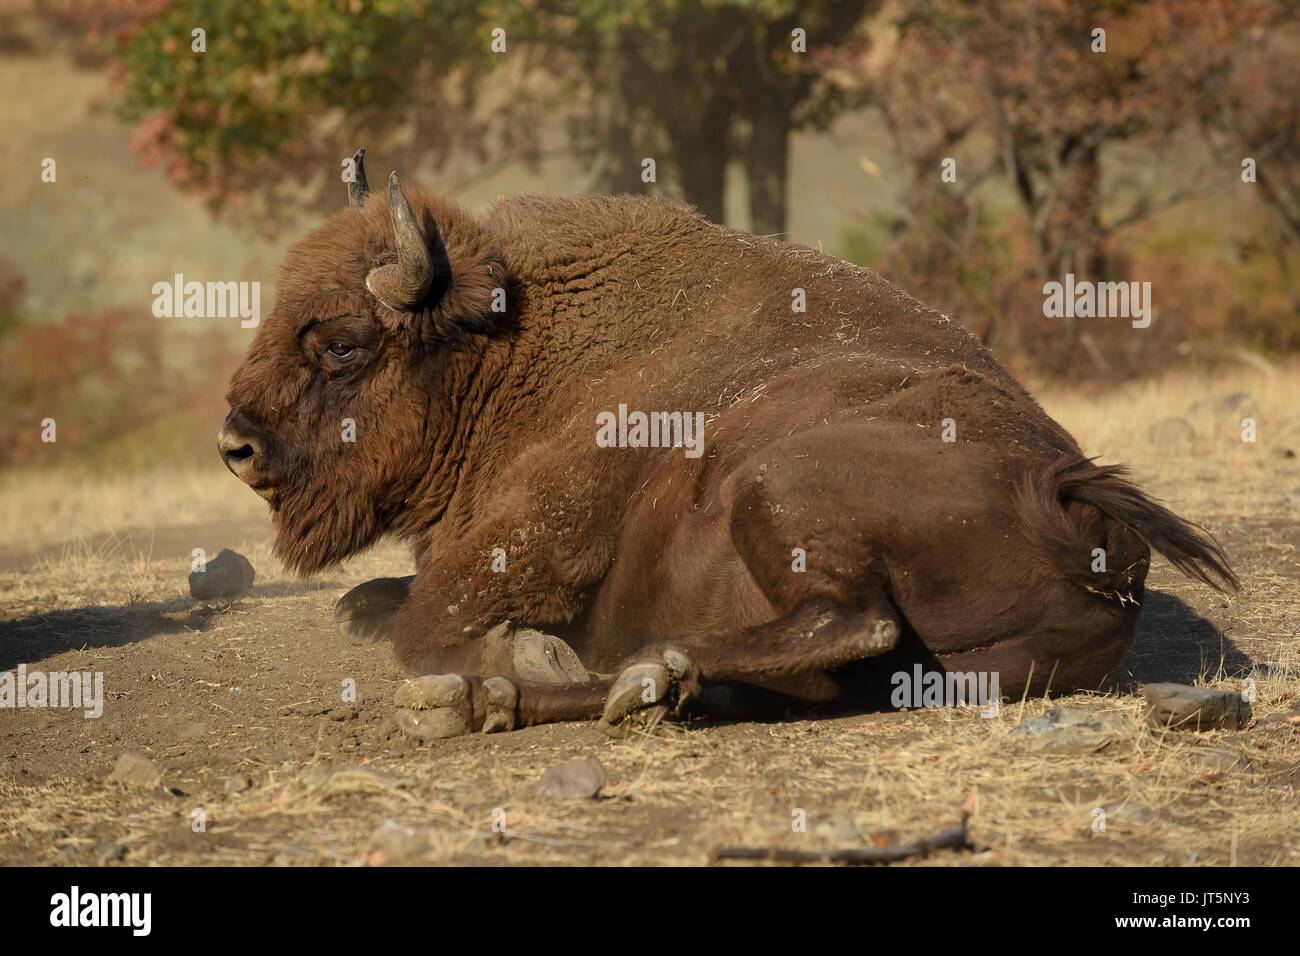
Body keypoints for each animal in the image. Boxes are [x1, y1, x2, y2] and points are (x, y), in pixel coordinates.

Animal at [218, 149, 1232, 738]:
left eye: (342, 343)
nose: (236, 444)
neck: (518, 346)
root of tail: (1073, 501)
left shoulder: (531, 534)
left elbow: (425, 624)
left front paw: (510, 648)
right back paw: (605, 687)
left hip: (779, 484)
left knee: (849, 619)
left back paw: (575, 680)